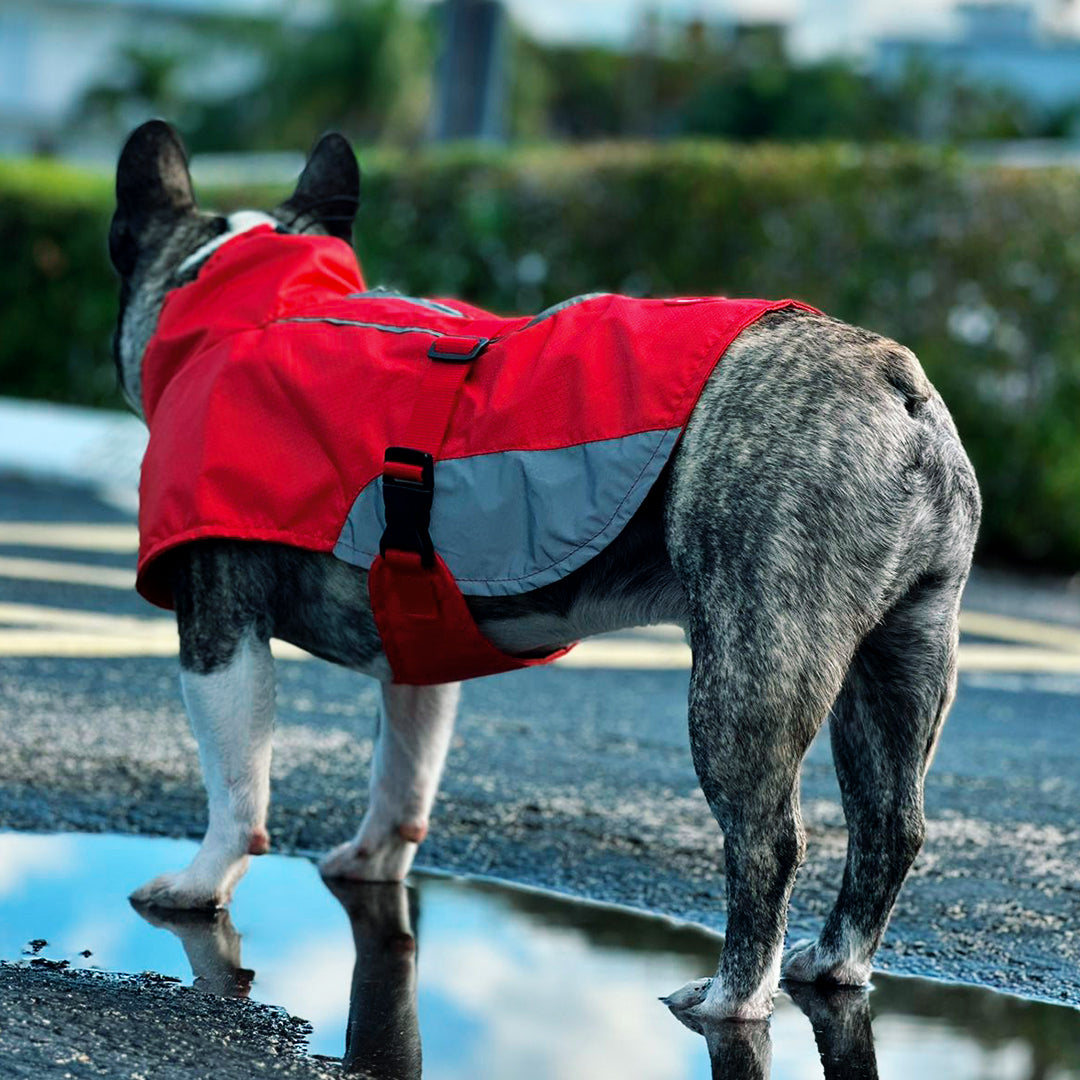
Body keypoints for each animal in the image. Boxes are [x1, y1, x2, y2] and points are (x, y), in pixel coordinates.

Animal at [107, 120, 980, 1019]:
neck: (258, 305)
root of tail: (893, 385)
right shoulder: (412, 653)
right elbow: (403, 771)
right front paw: (376, 858)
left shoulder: (218, 624)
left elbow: (236, 779)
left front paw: (201, 885)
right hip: (902, 657)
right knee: (890, 822)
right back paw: (836, 963)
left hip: (751, 666)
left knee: (767, 841)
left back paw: (732, 996)